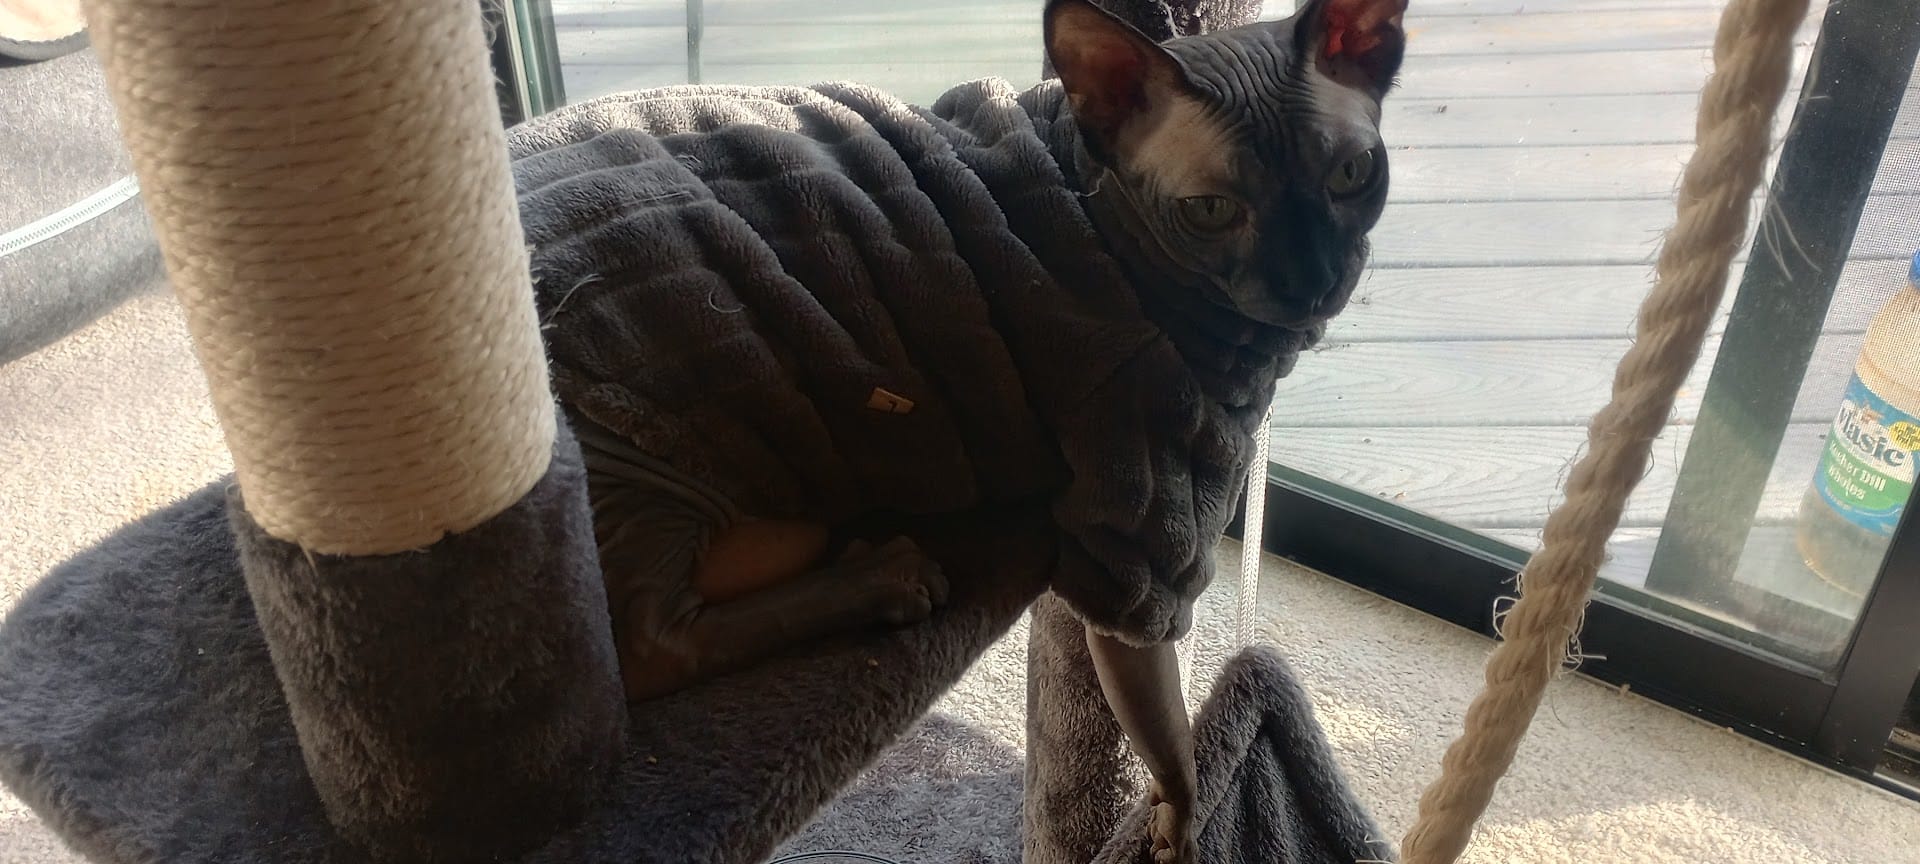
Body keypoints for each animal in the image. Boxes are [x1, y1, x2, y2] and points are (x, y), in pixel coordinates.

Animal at [508, 0, 1404, 858]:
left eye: (1353, 175)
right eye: (1213, 210)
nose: (1314, 281)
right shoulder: (1141, 469)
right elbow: (1158, 712)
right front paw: (1178, 822)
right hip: (634, 447)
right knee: (652, 642)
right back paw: (886, 579)